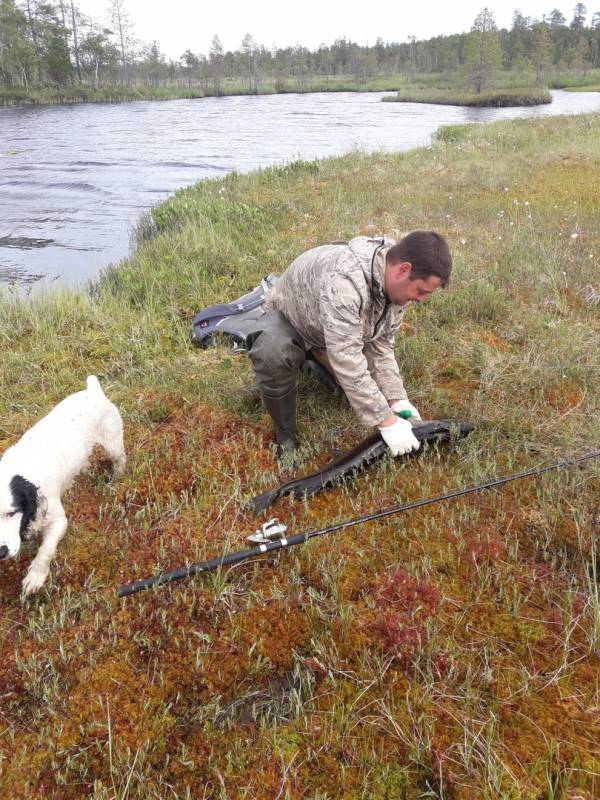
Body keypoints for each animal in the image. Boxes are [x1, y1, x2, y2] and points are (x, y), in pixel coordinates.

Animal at [0, 376, 124, 592]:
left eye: (11, 513)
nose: (1, 552)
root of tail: (93, 390)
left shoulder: (58, 520)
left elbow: (46, 550)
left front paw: (35, 577)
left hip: (112, 443)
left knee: (120, 460)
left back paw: (116, 480)